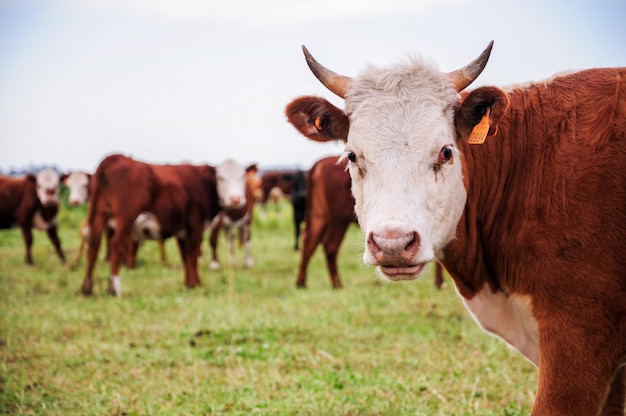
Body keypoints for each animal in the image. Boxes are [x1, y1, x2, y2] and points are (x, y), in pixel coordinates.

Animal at [81, 155, 219, 296]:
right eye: (221, 178)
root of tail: (116, 157)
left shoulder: (183, 231)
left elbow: (186, 256)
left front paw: (191, 283)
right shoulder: (195, 225)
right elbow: (192, 255)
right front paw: (195, 284)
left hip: (99, 211)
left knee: (93, 245)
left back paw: (87, 289)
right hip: (125, 217)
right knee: (116, 245)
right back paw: (114, 289)